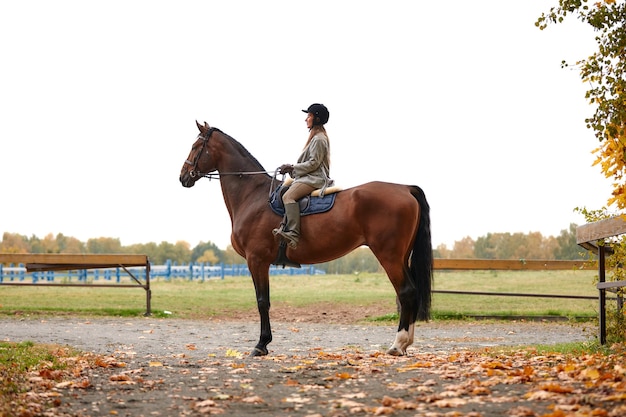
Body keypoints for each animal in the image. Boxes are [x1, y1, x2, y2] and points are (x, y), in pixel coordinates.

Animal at [177, 120, 428, 354]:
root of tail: (405, 188)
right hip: (401, 257)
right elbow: (264, 301)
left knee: (406, 292)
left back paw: (398, 344)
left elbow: (262, 302)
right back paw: (406, 343)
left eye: (195, 146)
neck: (253, 195)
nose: (183, 177)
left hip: (389, 256)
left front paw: (261, 344)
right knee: (413, 293)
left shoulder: (256, 260)